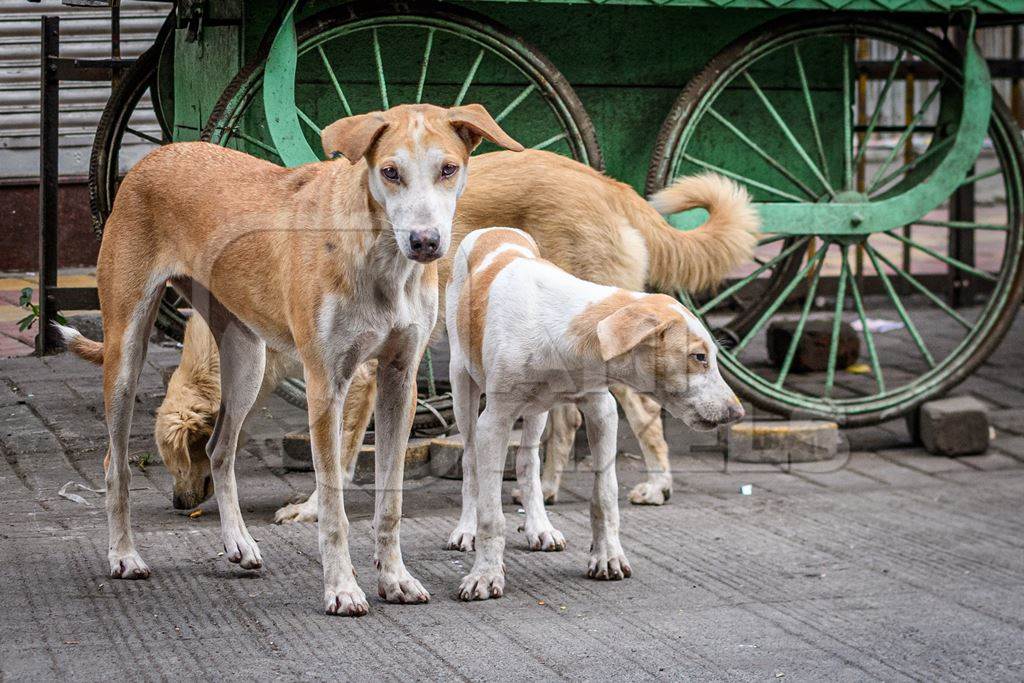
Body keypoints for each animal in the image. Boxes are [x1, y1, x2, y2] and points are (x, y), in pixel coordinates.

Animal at [448, 228, 745, 598]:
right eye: (699, 357)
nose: (738, 412)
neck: (561, 334)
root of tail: (493, 230)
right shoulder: (494, 422)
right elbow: (491, 511)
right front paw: (486, 574)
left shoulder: (603, 410)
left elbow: (605, 495)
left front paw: (608, 557)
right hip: (462, 386)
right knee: (470, 461)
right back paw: (466, 529)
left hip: (537, 410)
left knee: (528, 462)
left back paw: (539, 527)